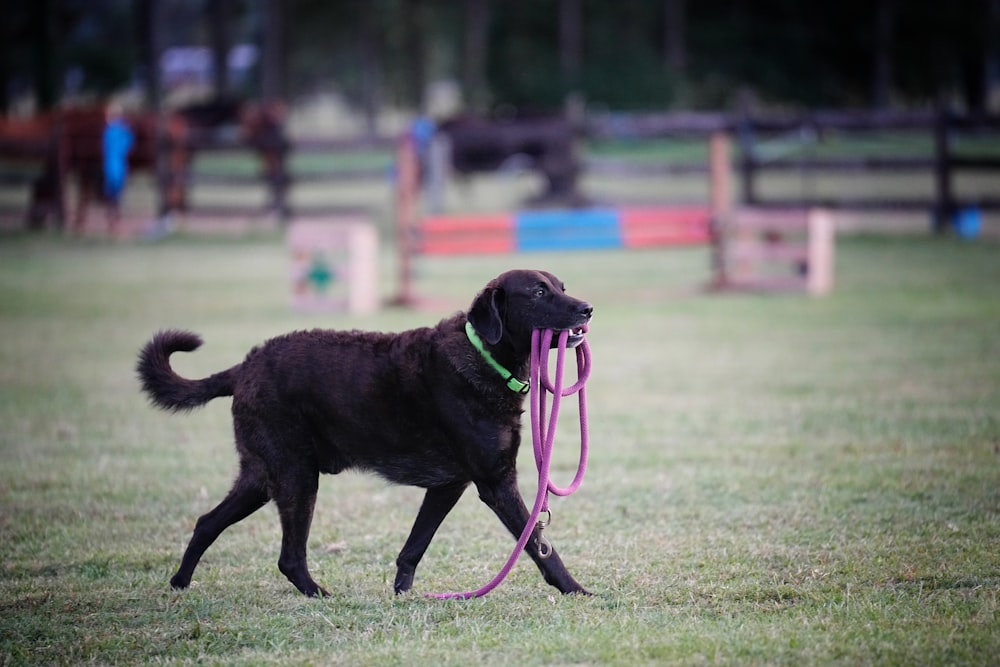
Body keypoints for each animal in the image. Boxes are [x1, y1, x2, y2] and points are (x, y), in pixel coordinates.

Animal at [139, 268, 592, 596]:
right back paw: (317, 594)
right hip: (296, 476)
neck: (484, 354)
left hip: (261, 476)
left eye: (561, 287)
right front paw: (576, 590)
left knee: (206, 522)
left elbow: (414, 547)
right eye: (538, 293)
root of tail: (244, 366)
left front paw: (403, 594)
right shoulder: (495, 483)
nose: (588, 308)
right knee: (288, 556)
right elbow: (539, 546)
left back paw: (179, 584)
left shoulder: (449, 485)